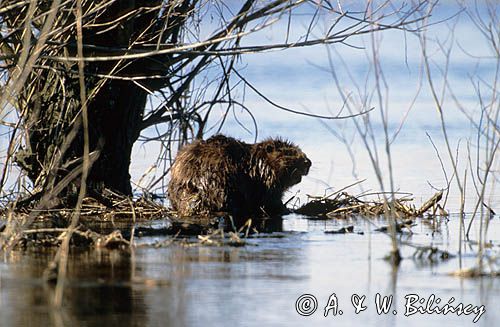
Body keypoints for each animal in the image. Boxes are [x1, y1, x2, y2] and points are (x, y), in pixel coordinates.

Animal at [168, 135, 310, 222]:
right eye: (288, 152)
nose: (308, 162)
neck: (257, 161)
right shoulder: (266, 183)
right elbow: (271, 202)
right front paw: (292, 209)